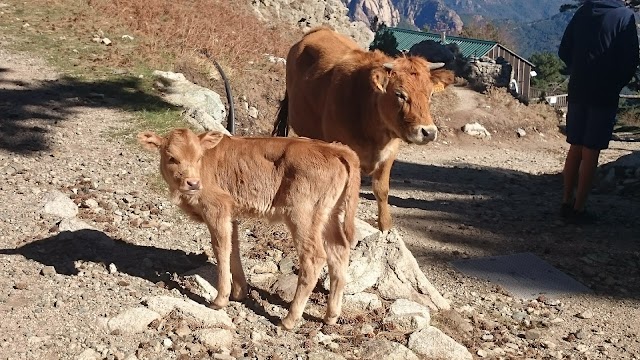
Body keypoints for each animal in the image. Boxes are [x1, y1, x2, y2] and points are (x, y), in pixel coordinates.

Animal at [138, 129, 360, 330]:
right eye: (171, 158)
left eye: (199, 157)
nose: (192, 183)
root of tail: (335, 148)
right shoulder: (231, 214)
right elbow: (233, 249)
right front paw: (239, 293)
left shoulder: (216, 209)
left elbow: (220, 249)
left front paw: (220, 299)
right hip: (329, 215)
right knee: (339, 252)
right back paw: (331, 316)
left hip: (302, 215)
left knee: (314, 257)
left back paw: (289, 320)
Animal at [272, 26, 456, 232]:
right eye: (399, 94)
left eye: (430, 94)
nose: (428, 132)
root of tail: (320, 30)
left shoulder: (390, 152)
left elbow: (381, 189)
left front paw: (385, 225)